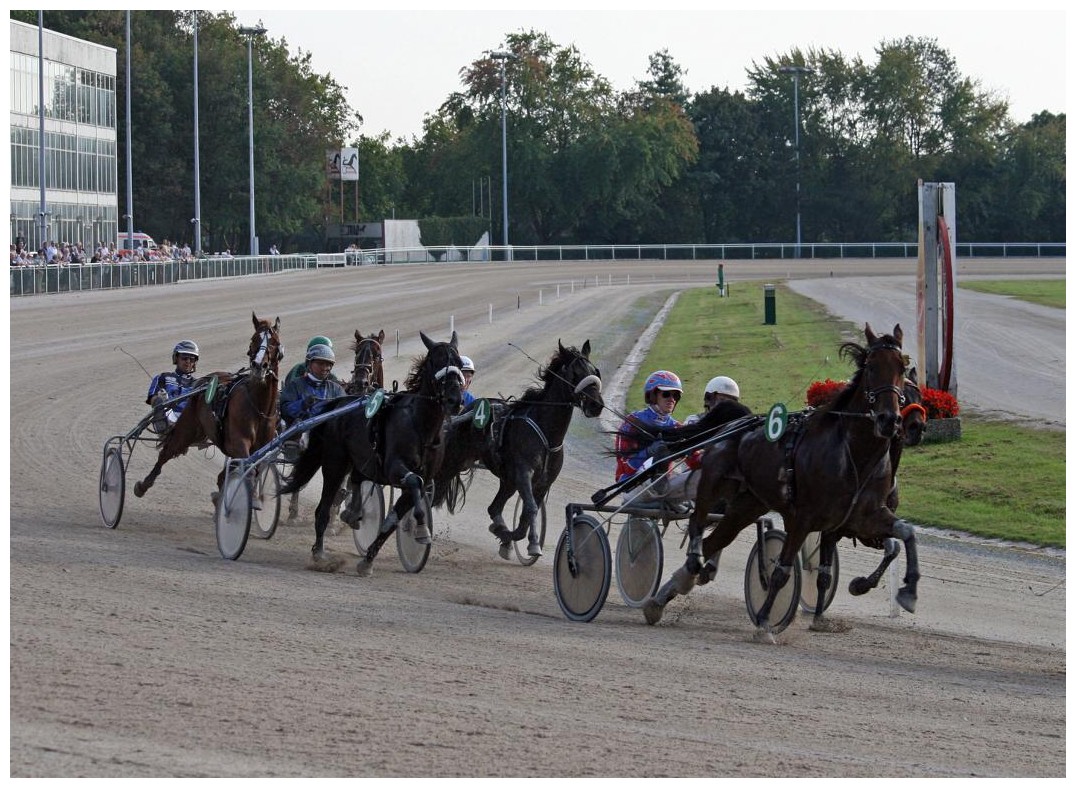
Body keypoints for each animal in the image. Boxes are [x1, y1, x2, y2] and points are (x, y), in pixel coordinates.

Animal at [133, 312, 281, 503]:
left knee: (220, 476)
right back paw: (143, 485)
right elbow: (247, 469)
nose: (258, 366)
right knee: (166, 453)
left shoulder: (264, 448)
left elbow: (255, 471)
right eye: (253, 339)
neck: (259, 407)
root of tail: (204, 382)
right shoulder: (239, 444)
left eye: (275, 342)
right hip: (187, 430)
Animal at [286, 329, 387, 525]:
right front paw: (332, 520)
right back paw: (293, 511)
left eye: (377, 354)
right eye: (357, 353)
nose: (361, 381)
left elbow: (349, 487)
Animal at [434, 338, 611, 559]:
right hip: (455, 461)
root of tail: (467, 410)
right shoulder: (523, 473)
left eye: (594, 370)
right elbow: (532, 508)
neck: (546, 435)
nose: (596, 404)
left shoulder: (543, 482)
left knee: (494, 508)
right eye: (575, 373)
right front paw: (531, 543)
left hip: (507, 480)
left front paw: (508, 537)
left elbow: (526, 514)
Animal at [641, 325, 921, 641]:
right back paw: (689, 563)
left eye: (902, 369)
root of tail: (734, 424)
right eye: (872, 367)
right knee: (698, 521)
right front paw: (765, 621)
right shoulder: (803, 517)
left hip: (748, 503)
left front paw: (906, 591)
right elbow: (781, 571)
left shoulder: (863, 517)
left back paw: (664, 595)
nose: (890, 420)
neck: (854, 455)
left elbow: (905, 534)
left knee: (717, 539)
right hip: (713, 482)